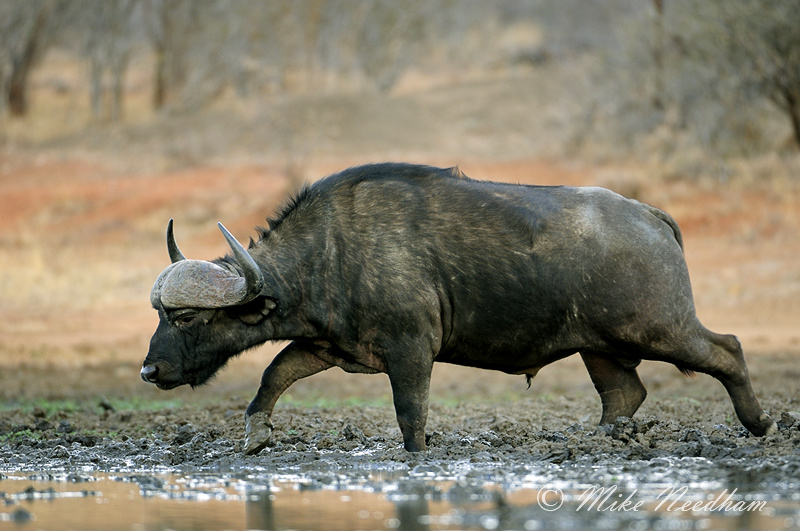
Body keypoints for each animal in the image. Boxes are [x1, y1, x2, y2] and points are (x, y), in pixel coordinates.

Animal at [142, 162, 776, 454]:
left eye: (186, 316)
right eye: (159, 315)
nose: (149, 370)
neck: (335, 249)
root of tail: (651, 216)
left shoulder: (411, 352)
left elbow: (410, 413)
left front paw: (417, 454)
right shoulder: (332, 347)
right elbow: (274, 374)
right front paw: (256, 435)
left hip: (659, 328)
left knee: (728, 349)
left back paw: (760, 424)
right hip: (601, 347)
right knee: (626, 394)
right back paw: (597, 441)